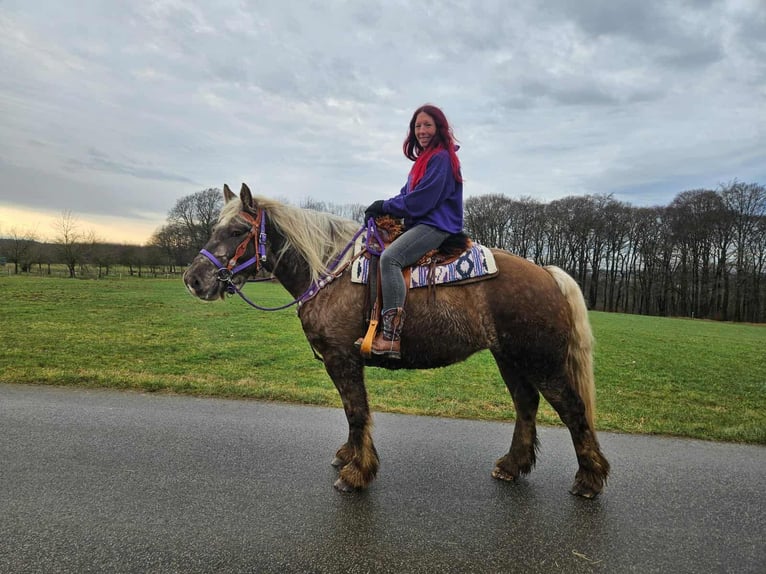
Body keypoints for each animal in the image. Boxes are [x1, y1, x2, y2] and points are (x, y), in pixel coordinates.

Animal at [183, 183, 610, 498]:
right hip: (510, 358)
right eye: (214, 229)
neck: (330, 272)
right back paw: (512, 465)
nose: (194, 279)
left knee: (573, 411)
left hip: (543, 362)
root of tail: (547, 273)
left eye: (237, 231)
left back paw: (589, 480)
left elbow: (356, 412)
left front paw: (357, 473)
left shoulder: (342, 358)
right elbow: (352, 412)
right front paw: (350, 457)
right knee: (526, 406)